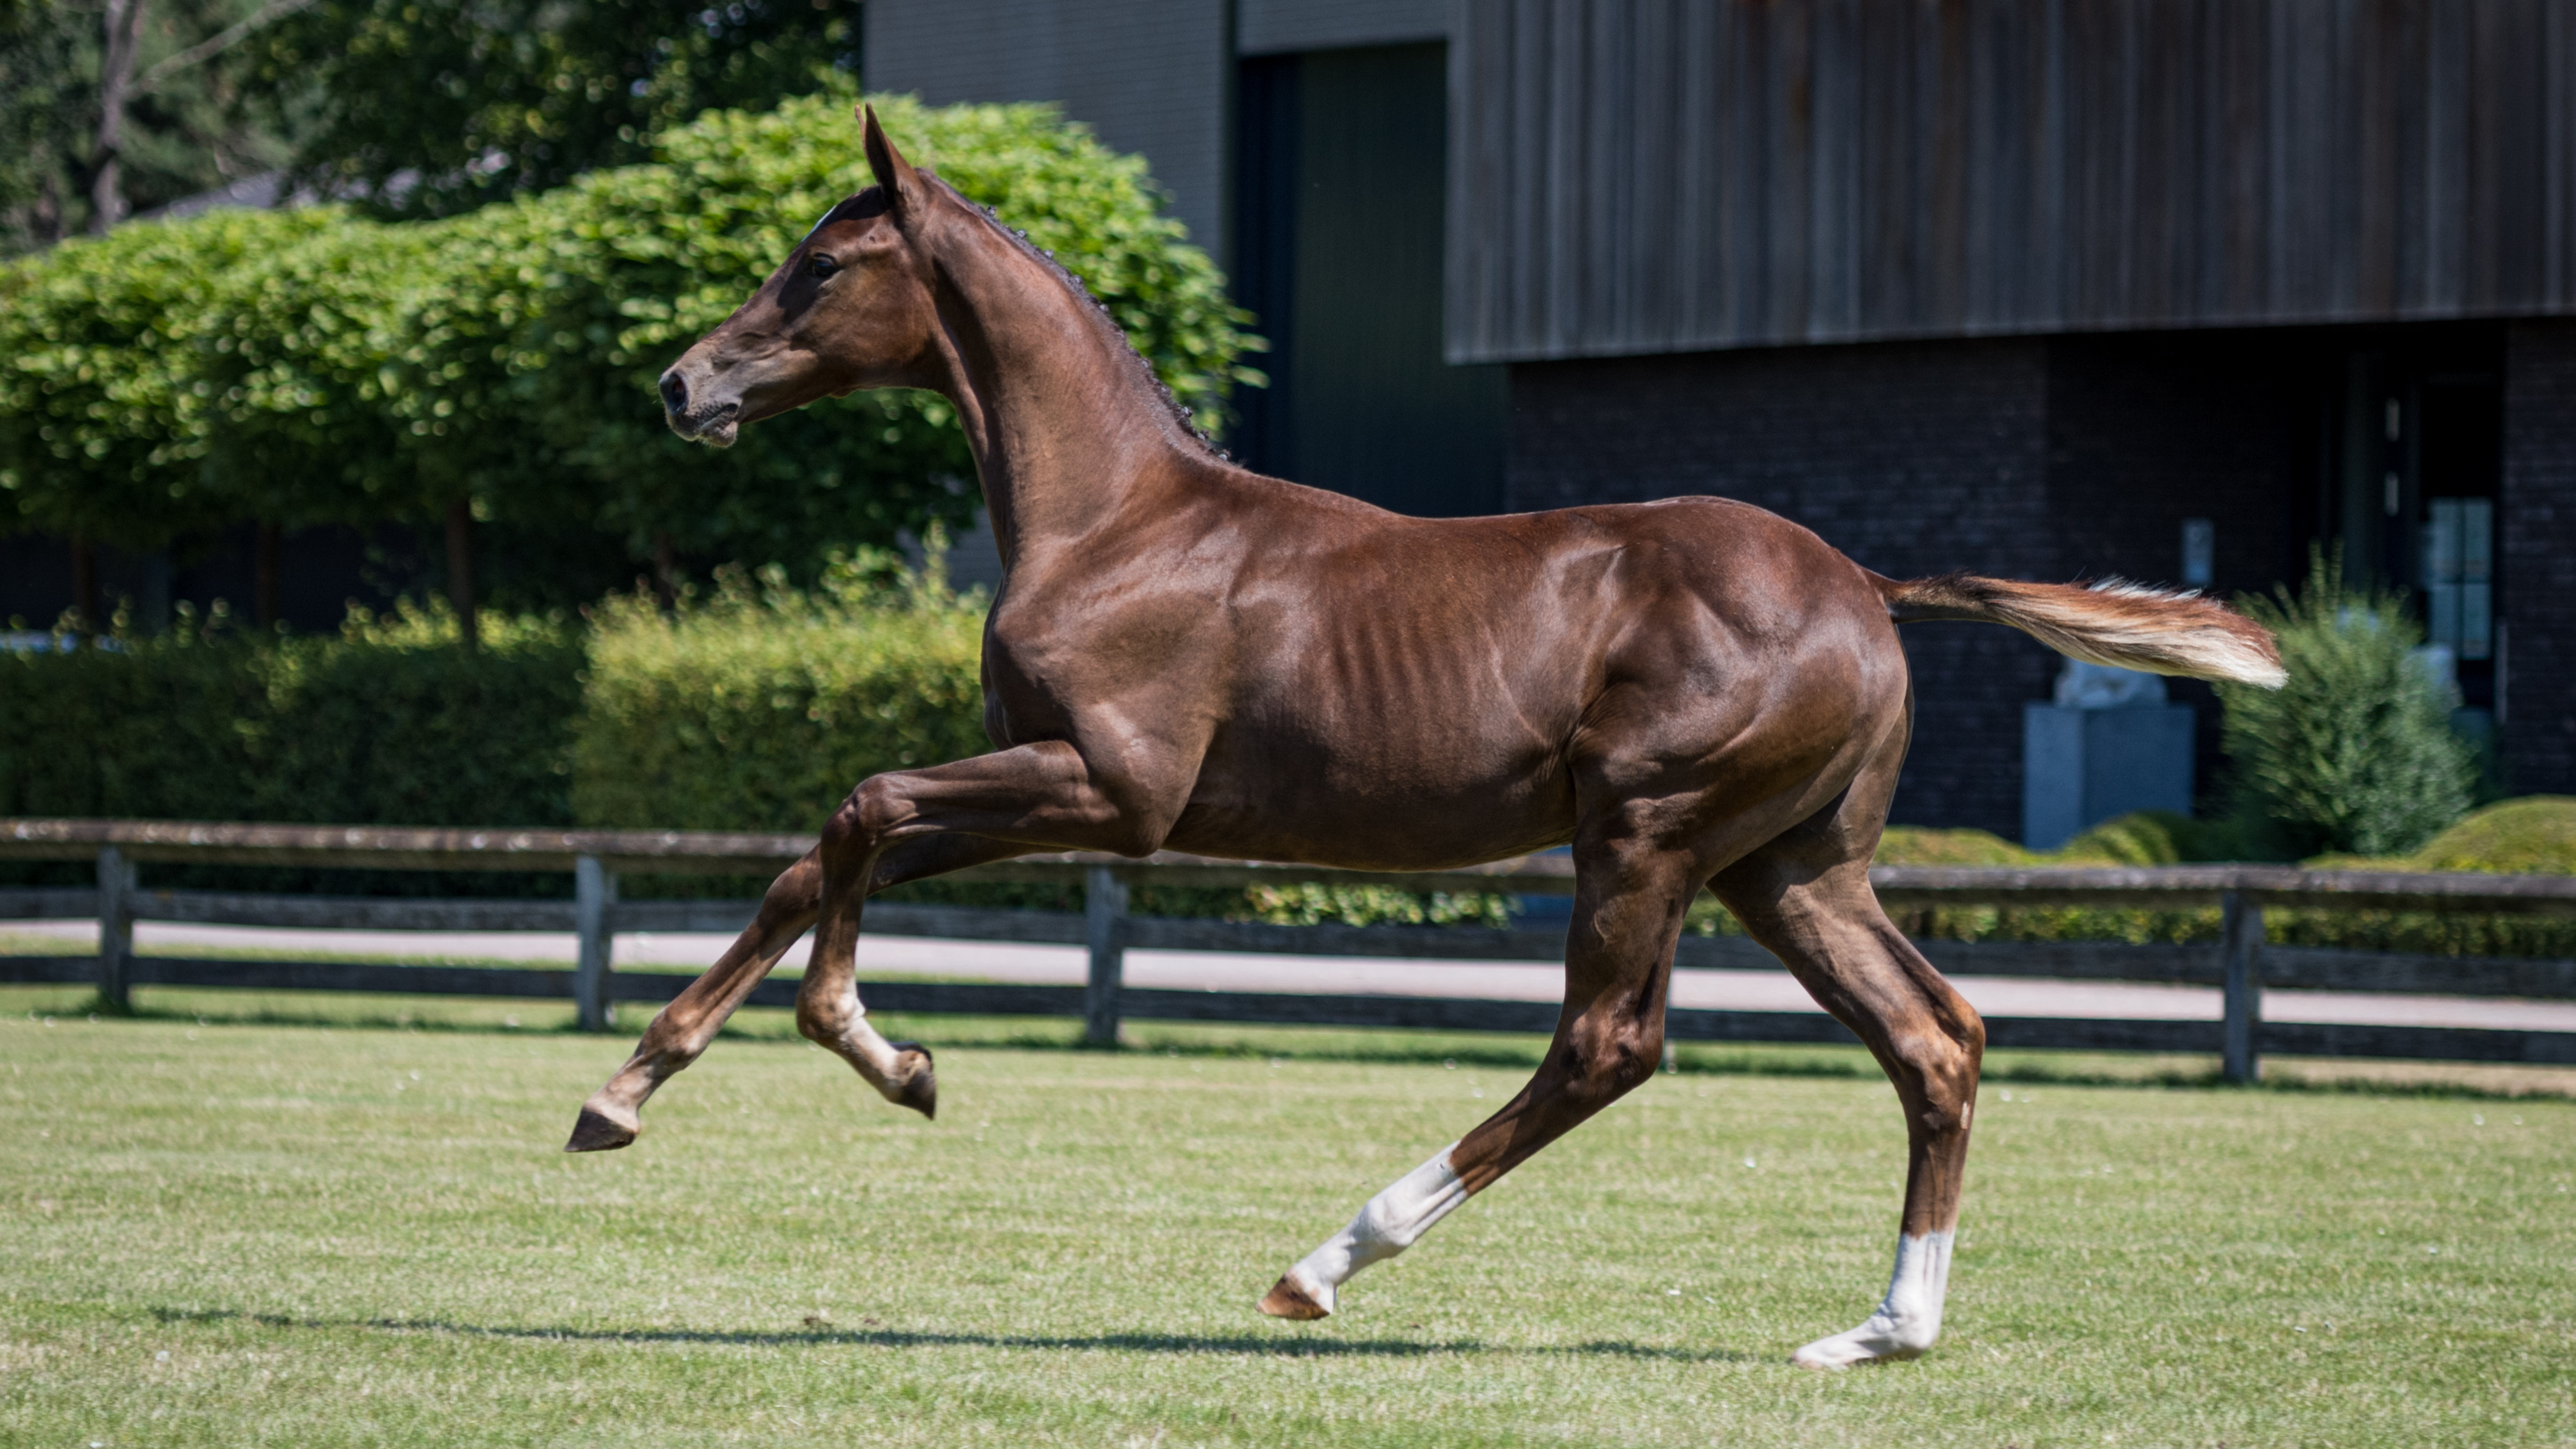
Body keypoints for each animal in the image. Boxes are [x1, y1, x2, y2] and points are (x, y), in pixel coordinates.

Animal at [569, 105, 2284, 1370]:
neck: (1117, 522)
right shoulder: (1044, 792)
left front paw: (888, 1058)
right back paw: (1879, 1332)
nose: (677, 384)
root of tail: (1864, 583)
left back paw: (1327, 1261)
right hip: (1789, 867)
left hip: (1642, 833)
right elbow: (810, 860)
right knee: (1934, 1036)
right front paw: (623, 1093)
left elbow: (856, 810)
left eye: (813, 267)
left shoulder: (1111, 792)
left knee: (1607, 1045)